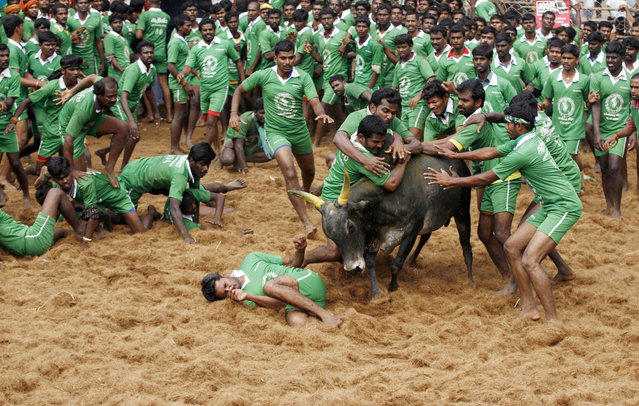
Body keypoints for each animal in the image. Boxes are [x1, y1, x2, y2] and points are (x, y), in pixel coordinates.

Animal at [292, 154, 472, 300]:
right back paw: (412, 261)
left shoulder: (411, 231)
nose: (353, 268)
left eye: (350, 226)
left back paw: (471, 282)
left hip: (462, 211)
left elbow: (396, 264)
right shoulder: (374, 237)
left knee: (466, 247)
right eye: (330, 235)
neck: (386, 200)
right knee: (426, 236)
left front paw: (393, 287)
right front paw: (376, 294)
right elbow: (371, 263)